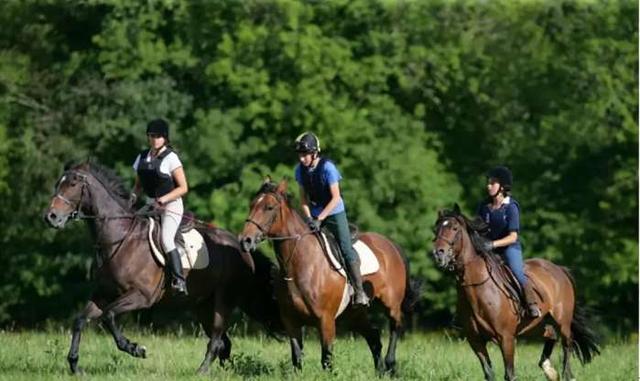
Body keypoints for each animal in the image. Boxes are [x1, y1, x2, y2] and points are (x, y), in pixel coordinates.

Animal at [40, 160, 280, 374]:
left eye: (72, 184)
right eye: (58, 184)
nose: (51, 217)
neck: (120, 238)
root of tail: (241, 246)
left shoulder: (141, 296)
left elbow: (109, 316)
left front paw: (135, 349)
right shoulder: (103, 295)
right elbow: (80, 320)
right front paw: (74, 365)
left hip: (223, 300)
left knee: (217, 337)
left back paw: (201, 371)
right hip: (202, 304)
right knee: (221, 341)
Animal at [238, 180, 418, 374]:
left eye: (269, 207)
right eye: (251, 205)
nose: (245, 240)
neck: (300, 264)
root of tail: (391, 245)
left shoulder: (326, 321)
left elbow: (327, 359)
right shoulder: (291, 322)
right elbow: (297, 357)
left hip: (391, 304)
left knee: (395, 327)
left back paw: (390, 364)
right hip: (354, 314)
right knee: (374, 338)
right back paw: (380, 371)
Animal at [430, 205, 600, 380]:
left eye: (454, 228)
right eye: (436, 230)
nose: (438, 253)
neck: (477, 289)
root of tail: (559, 269)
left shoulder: (506, 338)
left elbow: (510, 374)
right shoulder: (475, 341)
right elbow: (489, 373)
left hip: (563, 320)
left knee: (567, 345)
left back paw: (566, 374)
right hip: (540, 323)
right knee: (551, 335)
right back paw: (548, 369)